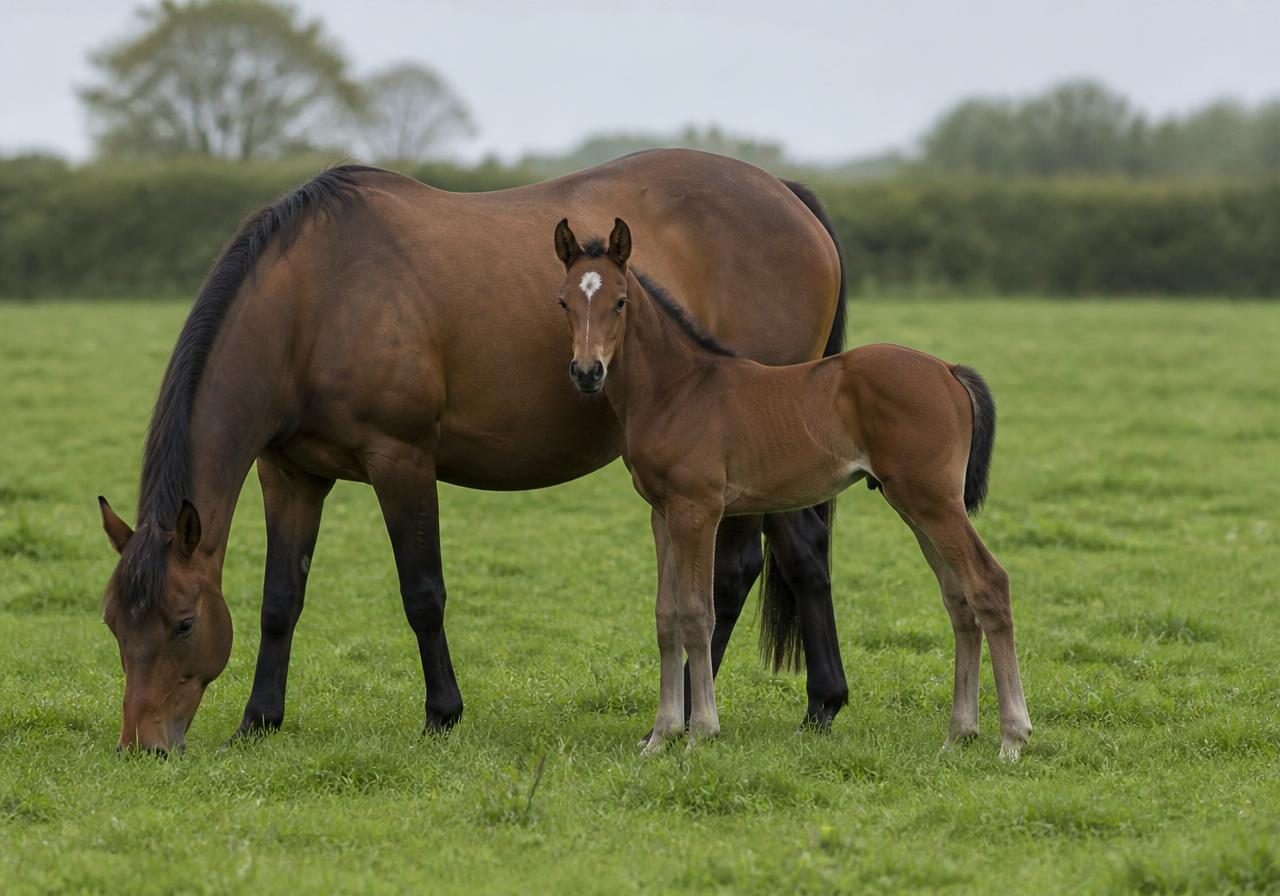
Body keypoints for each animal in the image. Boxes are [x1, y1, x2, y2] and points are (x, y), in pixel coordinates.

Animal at [96, 149, 853, 752]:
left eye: (182, 623)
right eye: (112, 623)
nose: (143, 745)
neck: (314, 299)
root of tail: (787, 194)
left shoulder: (400, 460)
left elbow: (422, 592)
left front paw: (442, 714)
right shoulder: (290, 475)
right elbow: (281, 598)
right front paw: (258, 721)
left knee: (781, 562)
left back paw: (803, 706)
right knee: (763, 566)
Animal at [552, 218, 1032, 759]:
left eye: (619, 302)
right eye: (565, 301)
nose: (586, 372)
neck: (678, 389)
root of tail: (949, 370)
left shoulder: (698, 509)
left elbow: (697, 614)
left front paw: (700, 733)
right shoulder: (661, 512)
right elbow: (665, 616)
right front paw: (660, 736)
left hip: (933, 500)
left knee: (988, 583)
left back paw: (1012, 736)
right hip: (914, 504)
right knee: (958, 597)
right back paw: (958, 733)